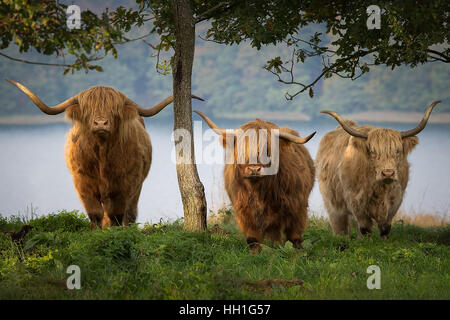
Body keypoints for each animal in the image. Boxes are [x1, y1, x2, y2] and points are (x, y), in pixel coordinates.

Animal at [6, 79, 201, 229]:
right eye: (88, 109)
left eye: (114, 109)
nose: (100, 123)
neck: (101, 156)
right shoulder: (83, 183)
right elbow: (95, 213)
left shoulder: (124, 185)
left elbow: (117, 215)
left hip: (136, 187)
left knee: (130, 213)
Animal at [194, 111, 316, 254]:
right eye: (242, 149)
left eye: (267, 149)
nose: (254, 169)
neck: (259, 191)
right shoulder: (244, 210)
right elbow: (253, 238)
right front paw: (255, 253)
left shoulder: (297, 207)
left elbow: (293, 234)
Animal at [316, 101, 440, 239]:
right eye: (373, 152)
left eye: (397, 151)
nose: (388, 173)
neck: (380, 190)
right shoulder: (356, 202)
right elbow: (365, 229)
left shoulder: (395, 201)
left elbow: (385, 229)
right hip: (333, 202)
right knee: (340, 226)